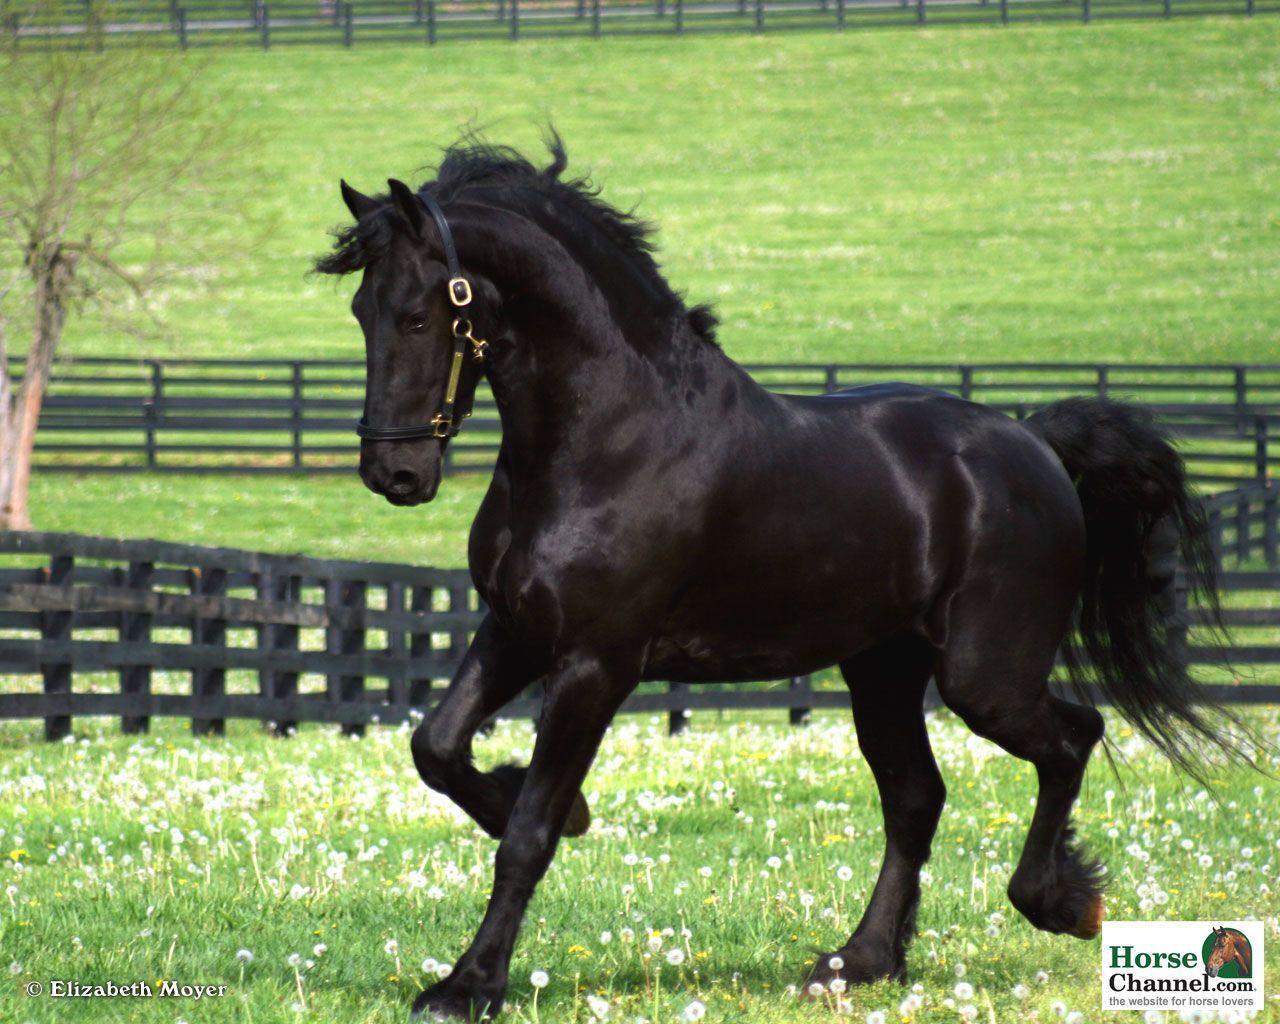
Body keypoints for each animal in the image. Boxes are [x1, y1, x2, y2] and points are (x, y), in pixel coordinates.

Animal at [316, 136, 1228, 1021]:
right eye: (360, 311)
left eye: (417, 313)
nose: (394, 473)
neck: (608, 439)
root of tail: (1033, 441)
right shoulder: (515, 629)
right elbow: (437, 747)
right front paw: (544, 809)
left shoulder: (595, 663)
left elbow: (527, 837)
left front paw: (467, 987)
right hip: (883, 670)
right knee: (917, 799)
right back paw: (859, 963)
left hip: (984, 678)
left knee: (1072, 737)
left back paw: (1062, 904)